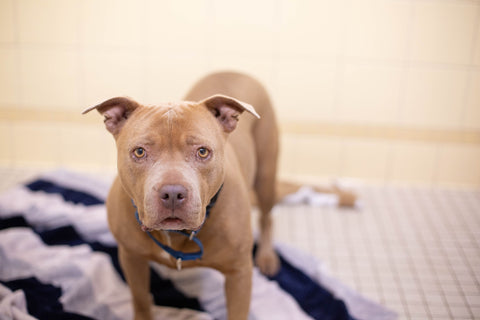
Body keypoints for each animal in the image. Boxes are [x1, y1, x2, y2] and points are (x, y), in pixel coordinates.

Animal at [83, 71, 282, 318]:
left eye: (203, 152)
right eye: (139, 152)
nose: (172, 193)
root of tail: (232, 71)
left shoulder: (239, 275)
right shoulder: (131, 257)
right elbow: (140, 299)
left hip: (266, 176)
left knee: (267, 216)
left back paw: (266, 256)